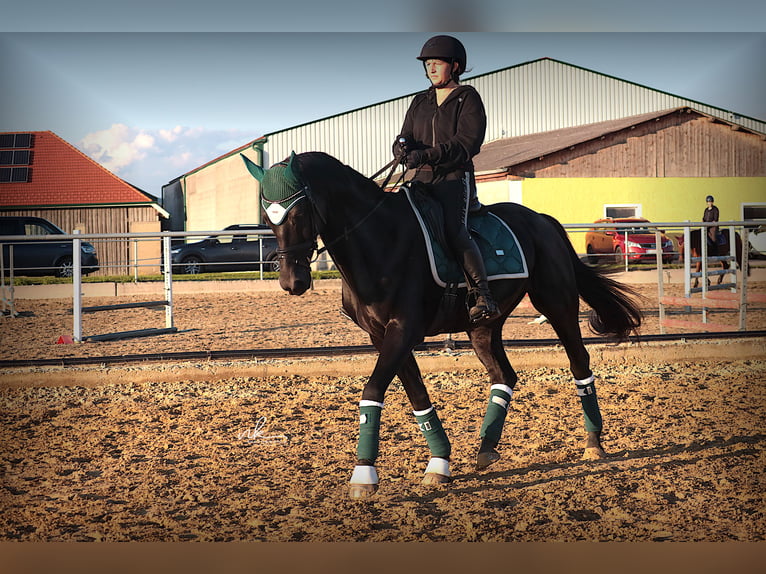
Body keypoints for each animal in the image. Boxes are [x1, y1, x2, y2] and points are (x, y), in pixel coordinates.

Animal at [243, 151, 642, 499]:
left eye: (299, 212)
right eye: (269, 217)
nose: (291, 281)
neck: (379, 240)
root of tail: (542, 220)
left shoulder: (403, 330)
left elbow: (372, 391)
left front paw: (364, 474)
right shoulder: (381, 335)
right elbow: (418, 396)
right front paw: (439, 463)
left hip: (557, 304)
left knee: (579, 363)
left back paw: (593, 443)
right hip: (483, 326)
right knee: (504, 375)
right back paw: (486, 448)